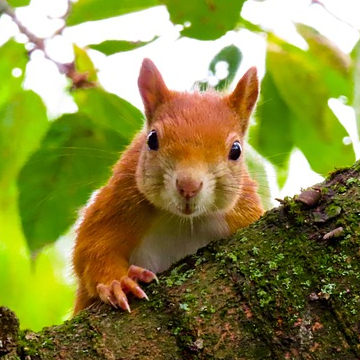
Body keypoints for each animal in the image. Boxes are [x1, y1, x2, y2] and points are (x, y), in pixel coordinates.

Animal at [72, 57, 264, 314]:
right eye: (152, 138)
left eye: (236, 150)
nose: (188, 186)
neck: (183, 221)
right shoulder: (119, 200)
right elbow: (92, 249)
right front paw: (117, 282)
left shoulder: (243, 212)